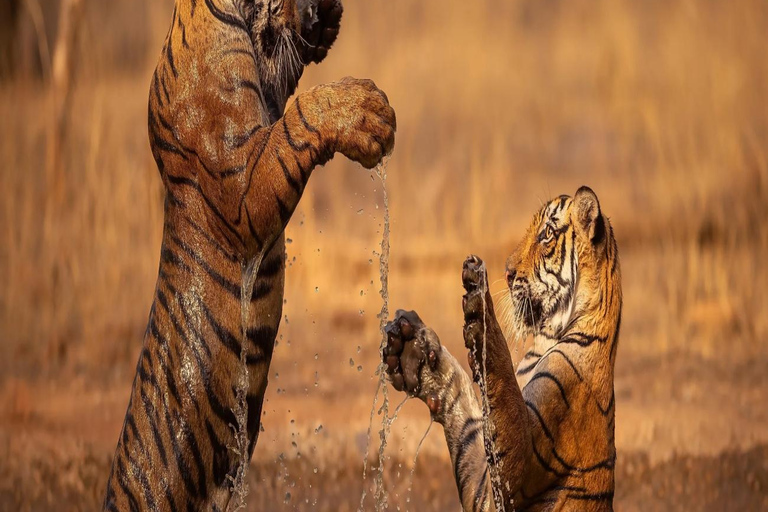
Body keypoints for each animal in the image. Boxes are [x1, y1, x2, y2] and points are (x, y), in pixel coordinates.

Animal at [382, 187, 622, 511]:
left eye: (546, 234)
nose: (507, 273)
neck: (548, 337)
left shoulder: (518, 469)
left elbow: (502, 384)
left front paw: (480, 308)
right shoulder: (481, 487)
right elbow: (467, 415)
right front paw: (413, 354)